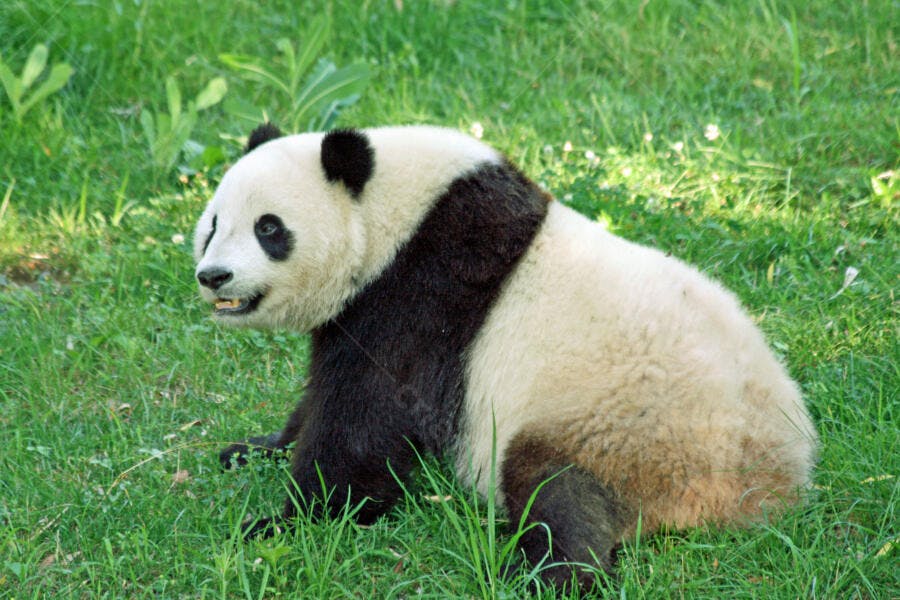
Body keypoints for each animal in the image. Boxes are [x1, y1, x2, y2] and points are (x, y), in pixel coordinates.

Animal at [194, 123, 817, 590]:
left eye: (269, 228)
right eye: (214, 224)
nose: (213, 275)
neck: (396, 214)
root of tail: (769, 485)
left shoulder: (420, 291)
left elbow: (365, 417)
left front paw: (283, 522)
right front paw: (255, 450)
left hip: (630, 427)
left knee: (556, 491)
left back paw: (543, 574)